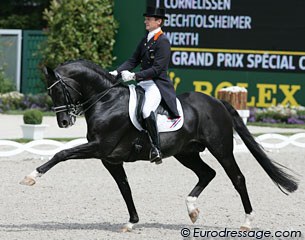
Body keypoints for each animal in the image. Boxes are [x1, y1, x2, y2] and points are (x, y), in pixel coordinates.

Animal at [20, 59, 296, 232]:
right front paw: (131, 222)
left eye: (58, 91)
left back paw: (247, 222)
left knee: (237, 178)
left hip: (221, 149)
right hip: (186, 153)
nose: (64, 122)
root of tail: (216, 101)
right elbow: (125, 188)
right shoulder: (110, 159)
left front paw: (31, 177)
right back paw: (192, 210)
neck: (107, 101)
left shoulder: (99, 148)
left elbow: (62, 153)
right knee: (207, 173)